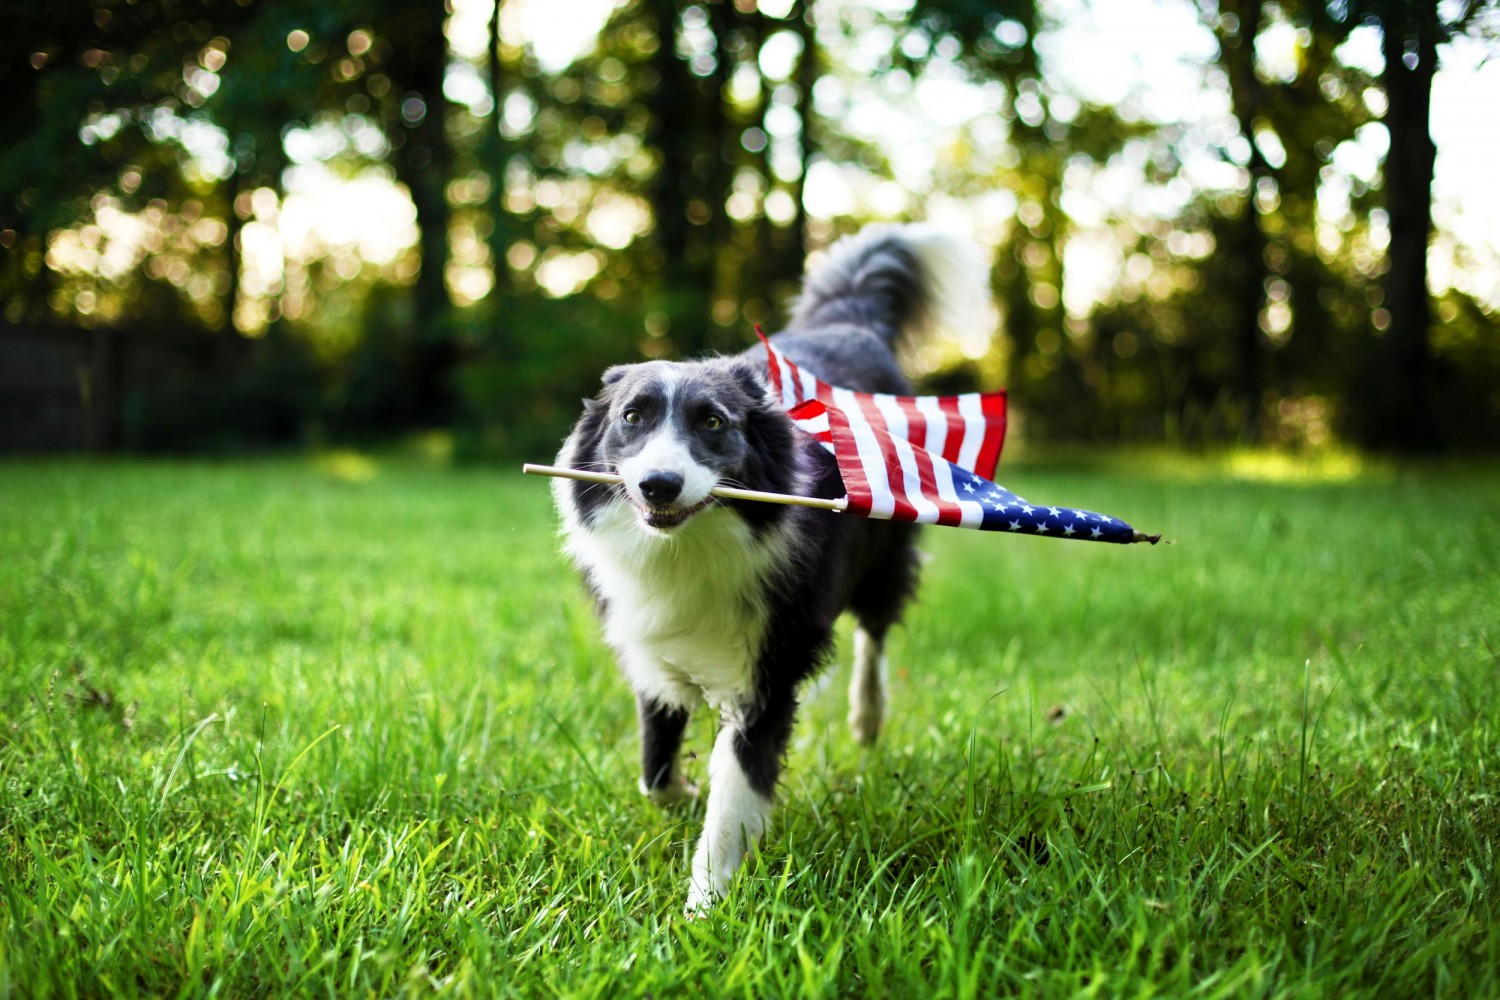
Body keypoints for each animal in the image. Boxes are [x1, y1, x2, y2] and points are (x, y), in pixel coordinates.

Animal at [558, 223, 990, 911]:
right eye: (632, 417)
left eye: (713, 421)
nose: (658, 485)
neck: (691, 545)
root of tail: (849, 322)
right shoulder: (648, 641)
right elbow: (654, 767)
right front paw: (681, 794)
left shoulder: (769, 665)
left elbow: (735, 794)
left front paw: (703, 910)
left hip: (886, 550)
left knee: (875, 630)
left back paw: (867, 717)